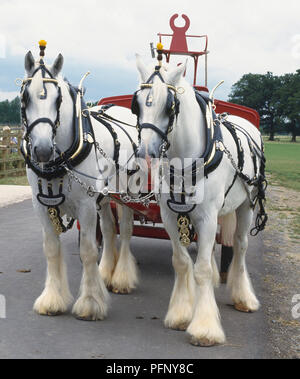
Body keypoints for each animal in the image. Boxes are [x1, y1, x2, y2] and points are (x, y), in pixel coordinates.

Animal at [21, 51, 139, 320]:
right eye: (25, 97)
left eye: (58, 99)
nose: (42, 150)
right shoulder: (41, 206)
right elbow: (52, 249)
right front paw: (52, 299)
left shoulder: (85, 205)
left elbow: (87, 251)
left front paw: (90, 302)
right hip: (104, 199)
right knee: (109, 229)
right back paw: (105, 273)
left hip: (126, 195)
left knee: (126, 230)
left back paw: (122, 278)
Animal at [134, 56, 268, 348]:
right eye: (136, 104)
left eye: (170, 106)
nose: (146, 154)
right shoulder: (170, 216)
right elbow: (182, 262)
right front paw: (182, 312)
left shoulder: (207, 218)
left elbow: (203, 269)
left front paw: (204, 328)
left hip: (246, 207)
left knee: (240, 246)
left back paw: (243, 297)